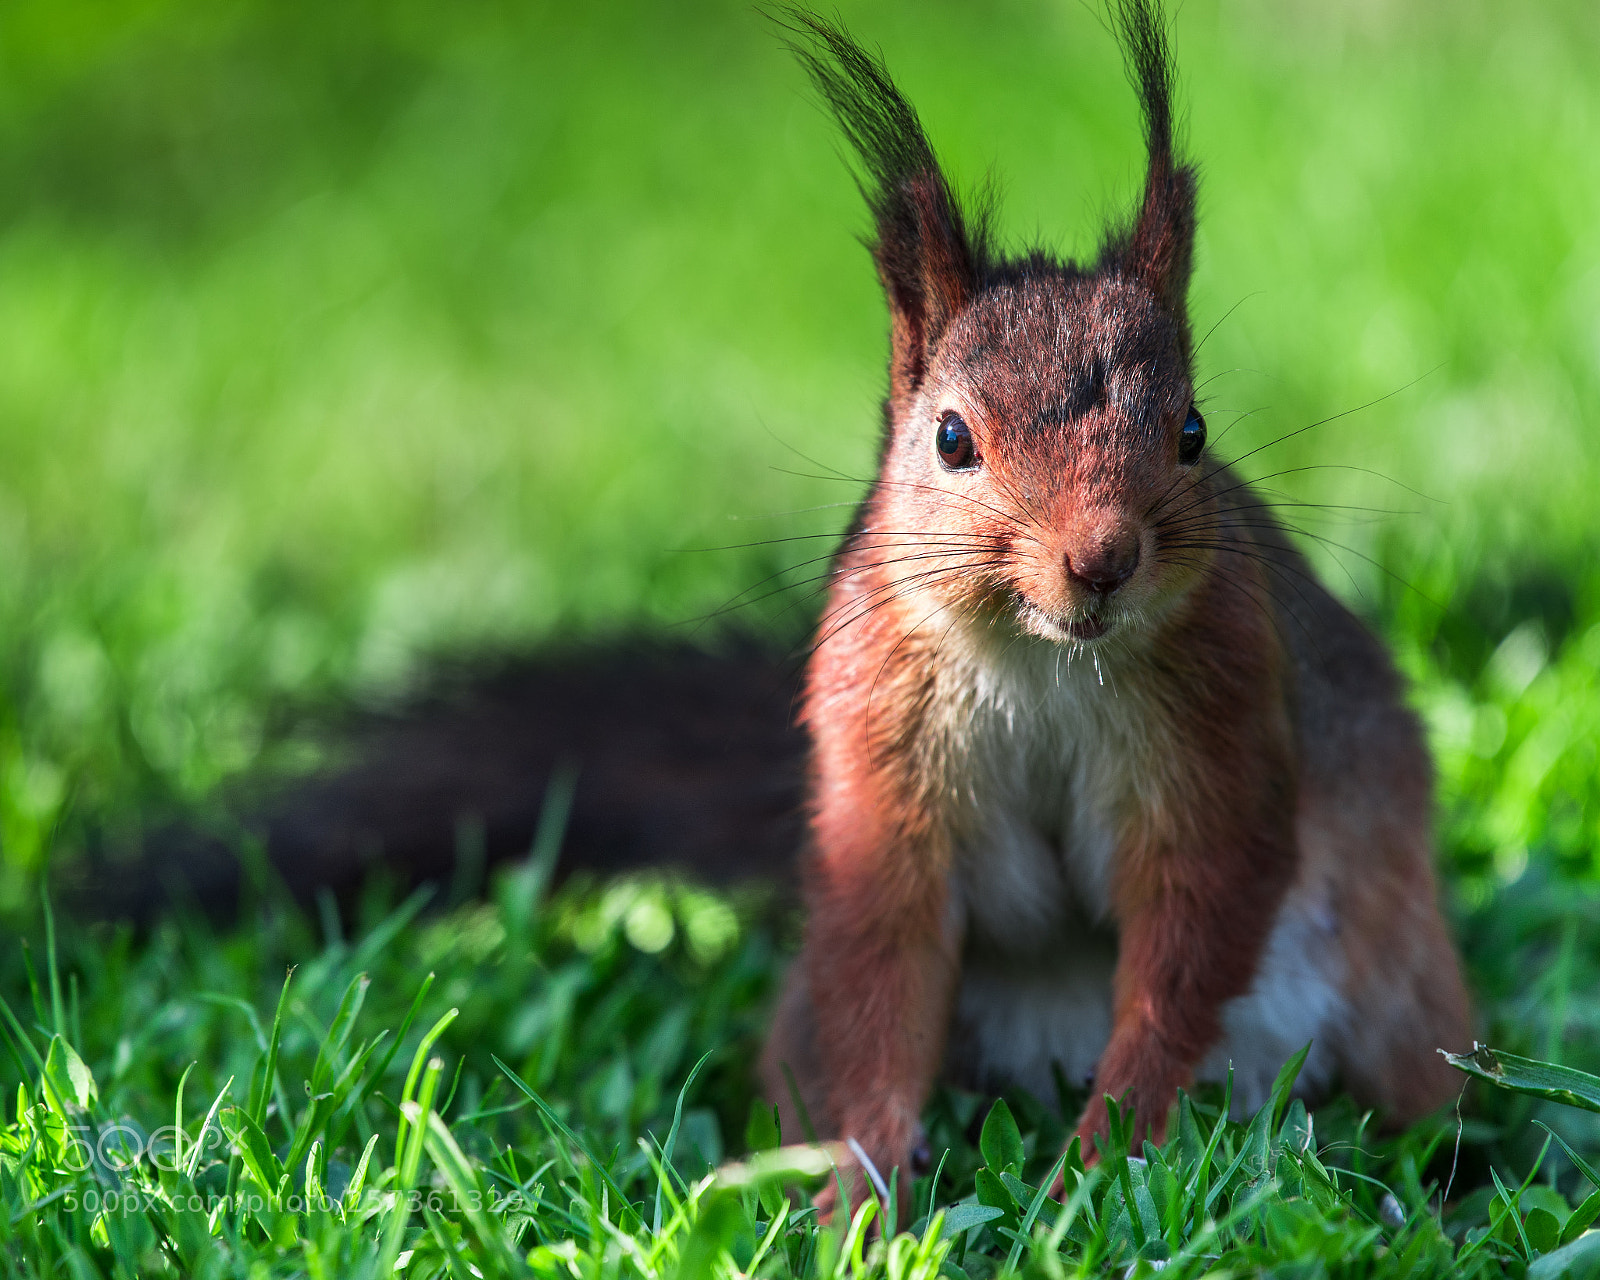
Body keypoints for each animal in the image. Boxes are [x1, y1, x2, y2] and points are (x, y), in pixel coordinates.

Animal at [758, 1, 1471, 1214]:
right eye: (951, 437)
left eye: (1191, 431)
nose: (1101, 558)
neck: (1042, 655)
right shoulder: (882, 756)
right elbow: (886, 959)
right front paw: (860, 1187)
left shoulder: (1219, 718)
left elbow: (1191, 926)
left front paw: (1095, 1165)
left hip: (1404, 994)